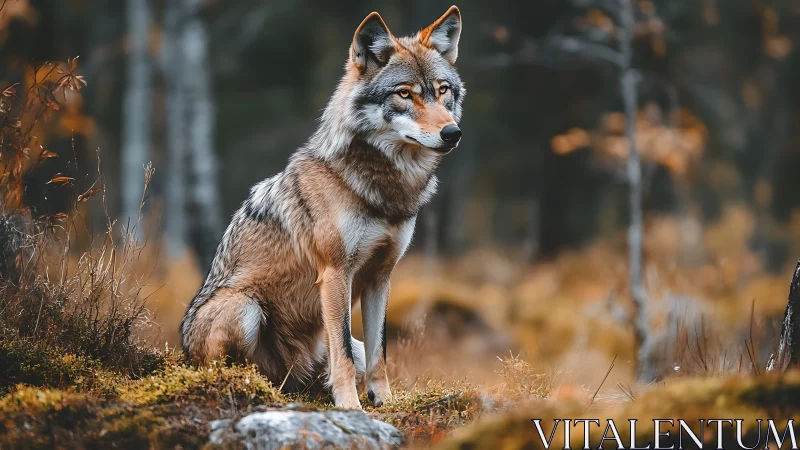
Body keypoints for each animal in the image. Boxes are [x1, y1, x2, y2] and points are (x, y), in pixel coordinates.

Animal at [180, 6, 464, 409]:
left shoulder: (380, 277)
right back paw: (253, 387)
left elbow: (380, 351)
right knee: (236, 368)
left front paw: (384, 401)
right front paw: (350, 406)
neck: (381, 189)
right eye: (404, 94)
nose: (452, 133)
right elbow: (340, 350)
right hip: (244, 307)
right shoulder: (335, 274)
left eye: (443, 91)